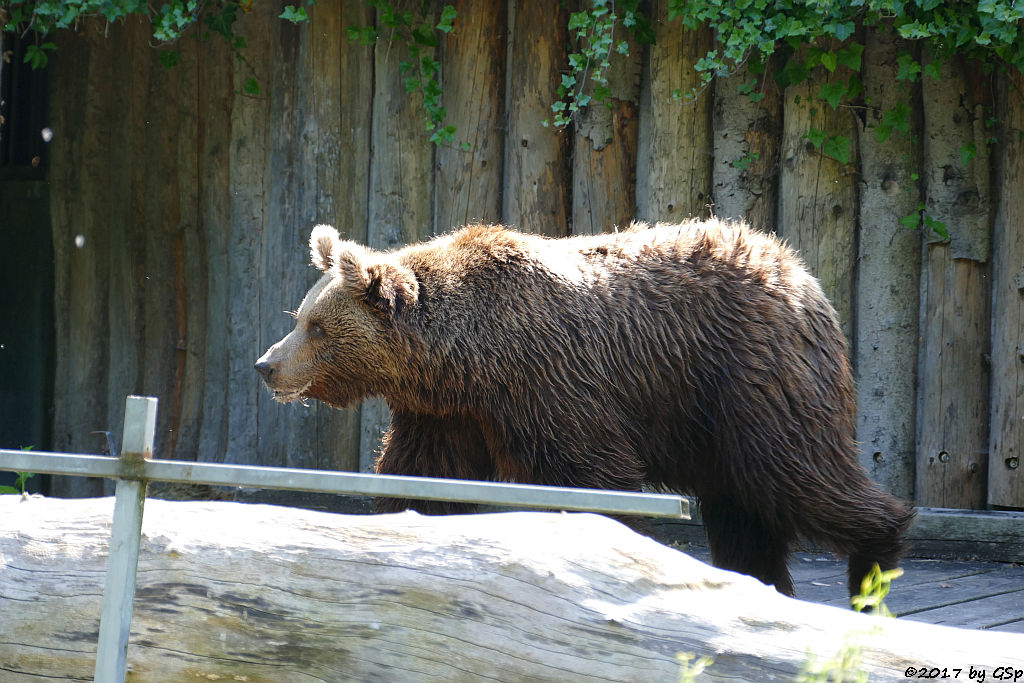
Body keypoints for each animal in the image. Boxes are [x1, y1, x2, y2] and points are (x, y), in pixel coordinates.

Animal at [253, 220, 913, 598]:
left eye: (315, 327)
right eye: (298, 317)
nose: (266, 365)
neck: (464, 361)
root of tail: (798, 270)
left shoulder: (553, 384)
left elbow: (591, 477)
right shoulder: (447, 416)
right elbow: (422, 480)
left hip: (749, 378)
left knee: (797, 472)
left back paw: (873, 566)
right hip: (710, 420)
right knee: (743, 508)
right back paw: (760, 581)